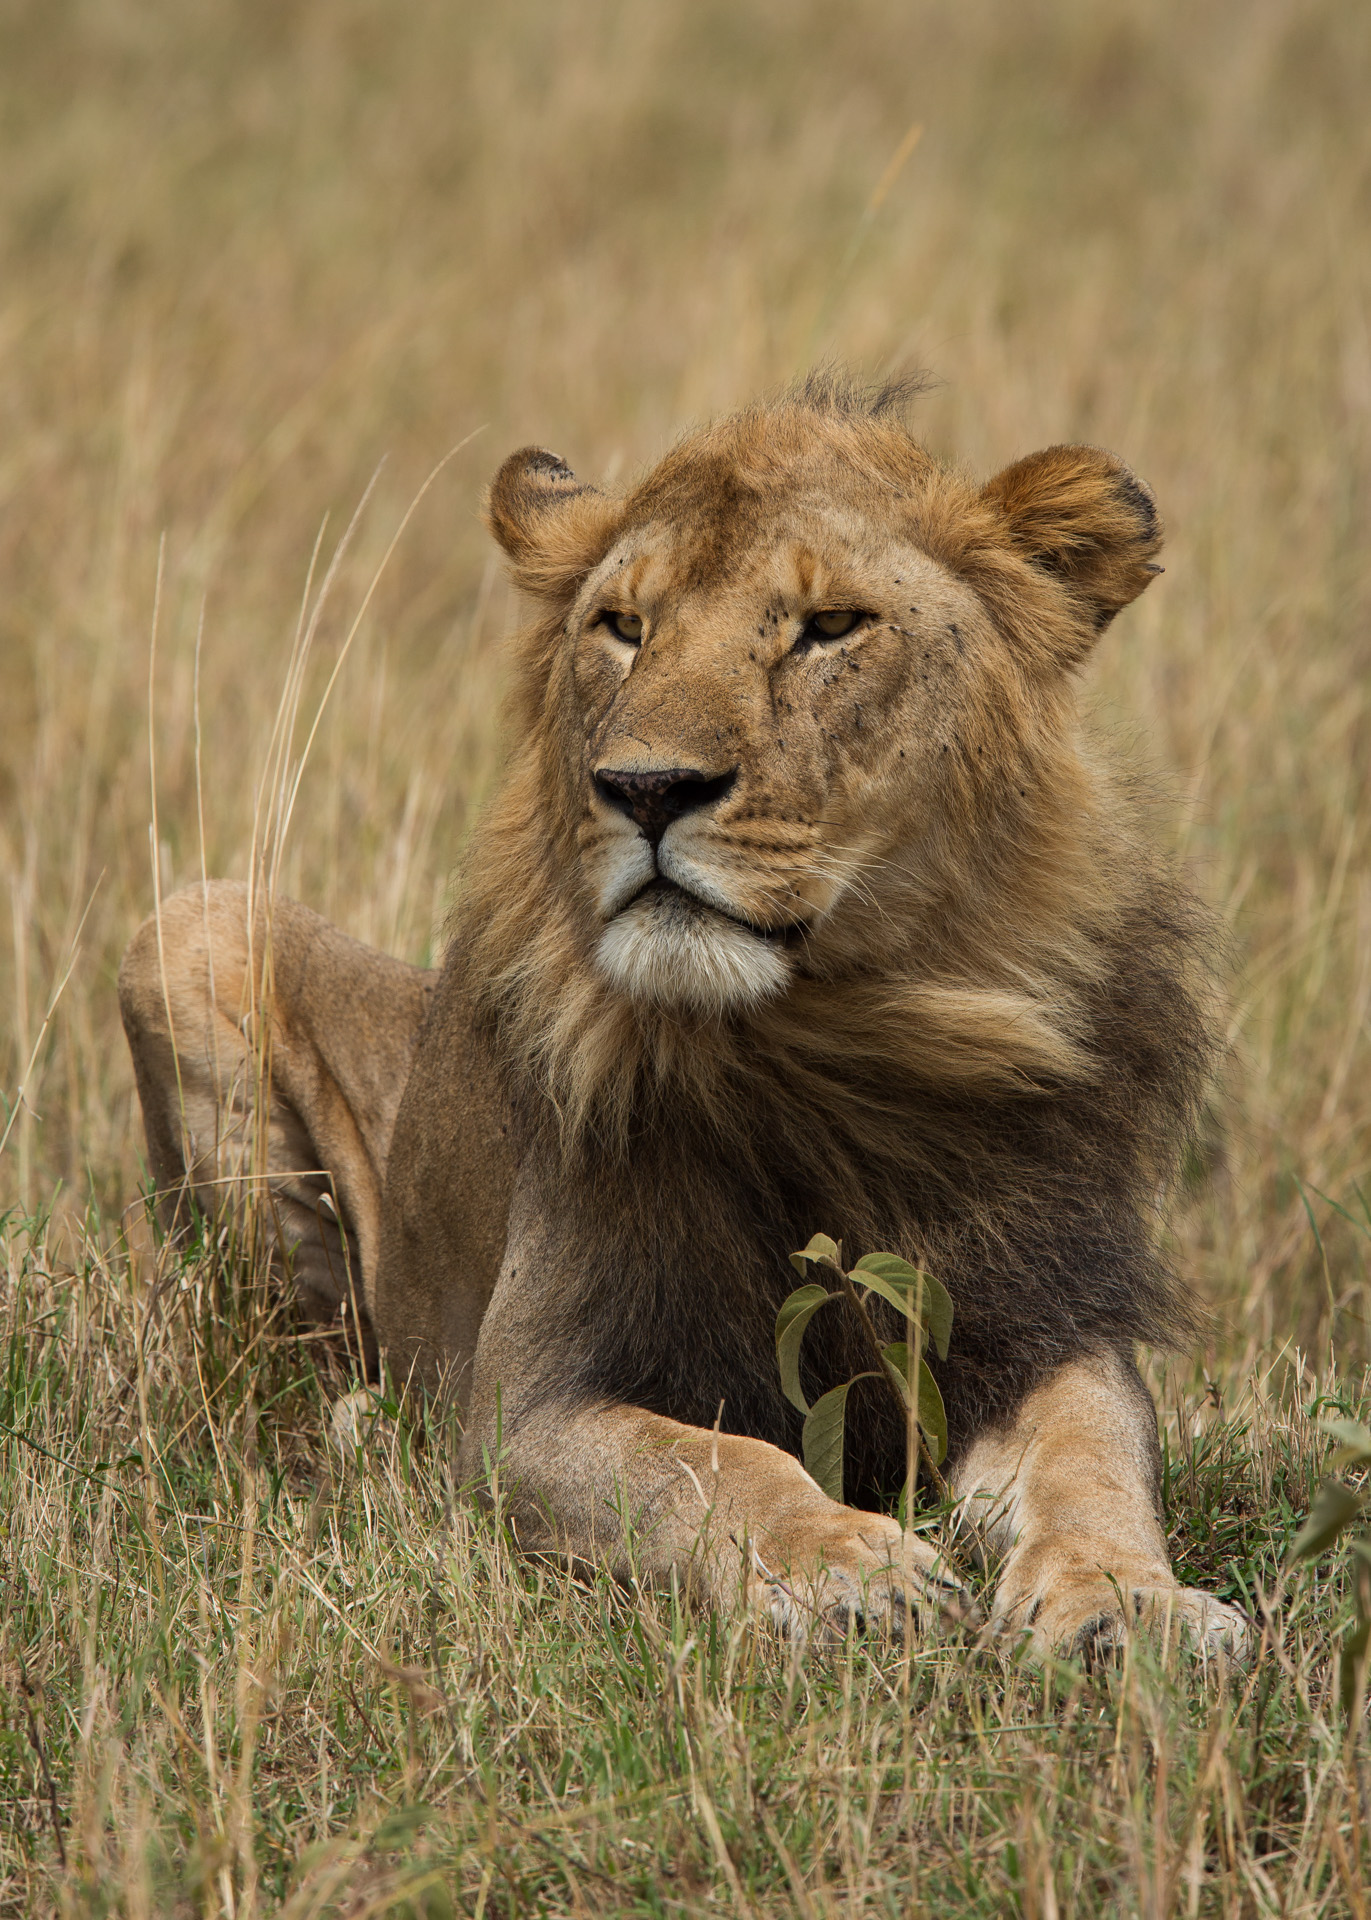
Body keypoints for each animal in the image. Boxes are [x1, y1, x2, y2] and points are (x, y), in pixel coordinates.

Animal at [120, 378, 1251, 1666]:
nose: (646, 788)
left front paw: (1125, 1601)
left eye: (831, 625)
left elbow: (1092, 1454)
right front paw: (848, 1567)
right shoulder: (529, 1403)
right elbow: (712, 1464)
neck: (835, 1047)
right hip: (190, 932)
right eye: (623, 626)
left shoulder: (1041, 1320)